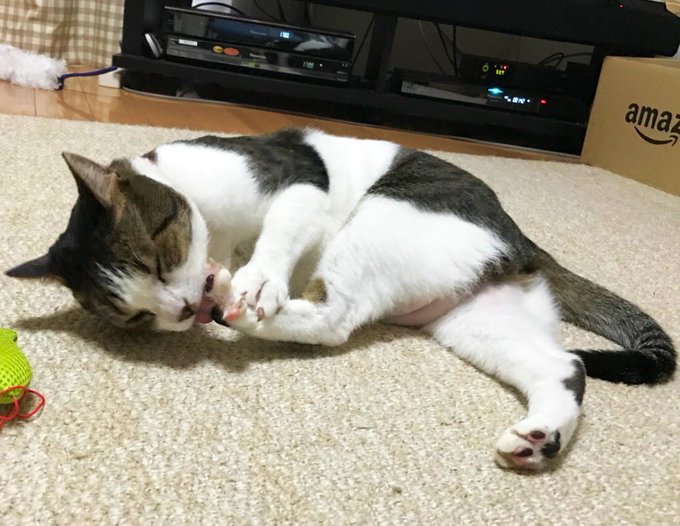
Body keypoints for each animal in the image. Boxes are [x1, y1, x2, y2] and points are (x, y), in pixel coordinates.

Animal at [6, 128, 675, 470]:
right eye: (137, 315)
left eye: (158, 261)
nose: (178, 311)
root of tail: (521, 238)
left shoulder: (302, 185)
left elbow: (277, 235)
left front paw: (258, 278)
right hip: (476, 323)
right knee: (564, 364)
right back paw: (541, 436)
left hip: (386, 212)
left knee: (337, 318)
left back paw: (239, 302)